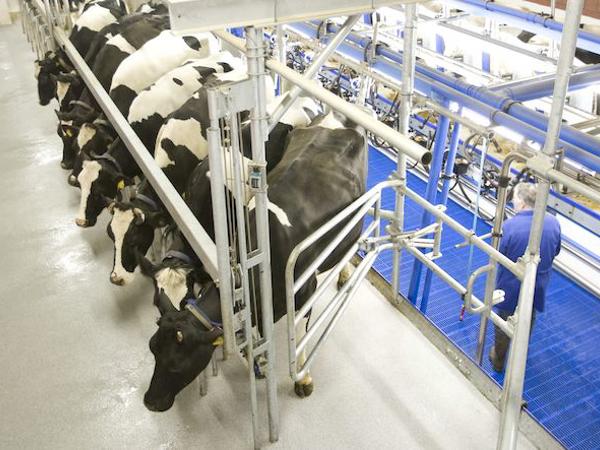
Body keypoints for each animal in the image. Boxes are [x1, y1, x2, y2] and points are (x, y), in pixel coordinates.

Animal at [143, 111, 368, 411]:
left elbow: (299, 334)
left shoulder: (303, 291)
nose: (151, 402)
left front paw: (302, 379)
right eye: (153, 348)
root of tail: (335, 116)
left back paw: (344, 273)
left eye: (178, 365)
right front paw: (256, 359)